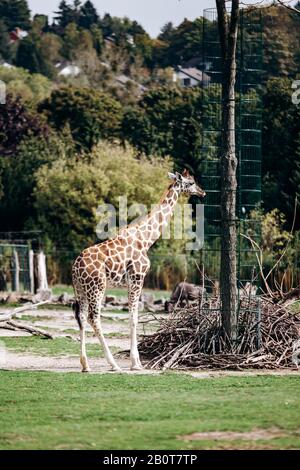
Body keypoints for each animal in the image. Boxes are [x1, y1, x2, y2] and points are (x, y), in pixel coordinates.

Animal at [71, 169, 205, 370]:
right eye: (190, 183)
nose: (202, 192)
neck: (147, 239)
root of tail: (76, 267)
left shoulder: (130, 281)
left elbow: (132, 315)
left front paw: (135, 361)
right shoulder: (137, 276)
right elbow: (134, 317)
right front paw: (136, 363)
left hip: (81, 289)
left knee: (81, 316)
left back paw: (85, 365)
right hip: (97, 286)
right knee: (94, 318)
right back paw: (113, 364)